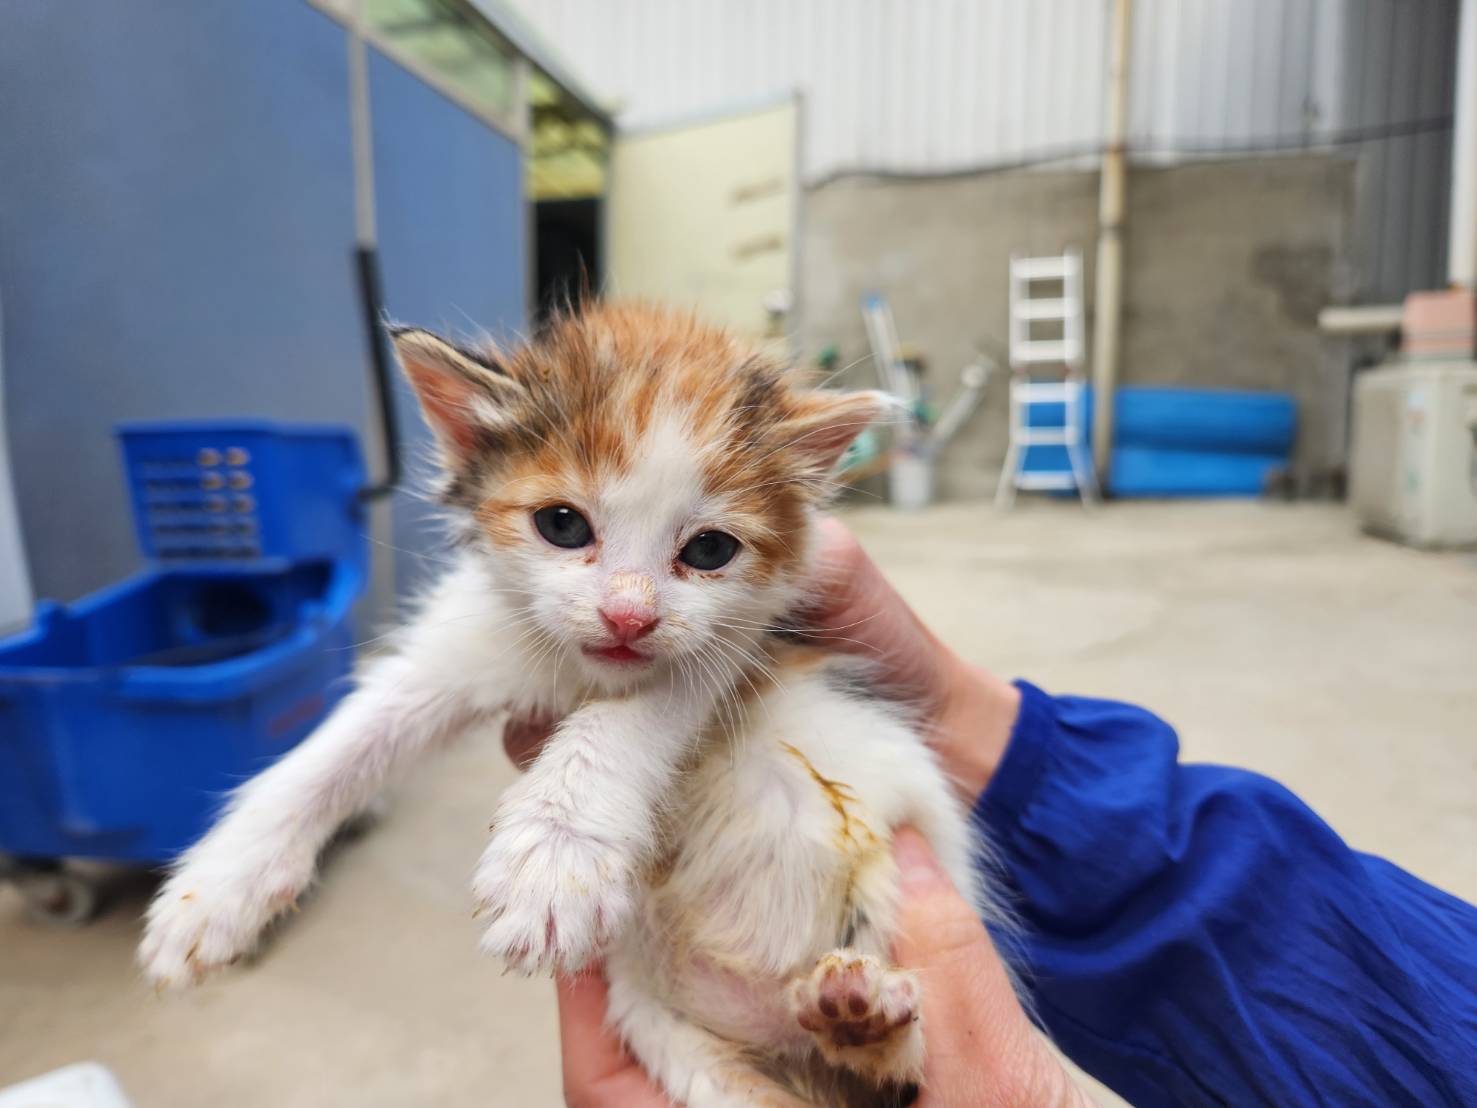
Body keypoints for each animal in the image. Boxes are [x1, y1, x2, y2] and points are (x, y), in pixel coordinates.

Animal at [141, 305, 1004, 1108]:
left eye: (710, 550)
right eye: (561, 525)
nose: (628, 618)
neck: (580, 668)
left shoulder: (744, 639)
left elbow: (632, 714)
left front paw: (554, 856)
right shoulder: (469, 634)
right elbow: (345, 744)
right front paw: (215, 888)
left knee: (891, 1076)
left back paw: (867, 1019)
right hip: (658, 1020)